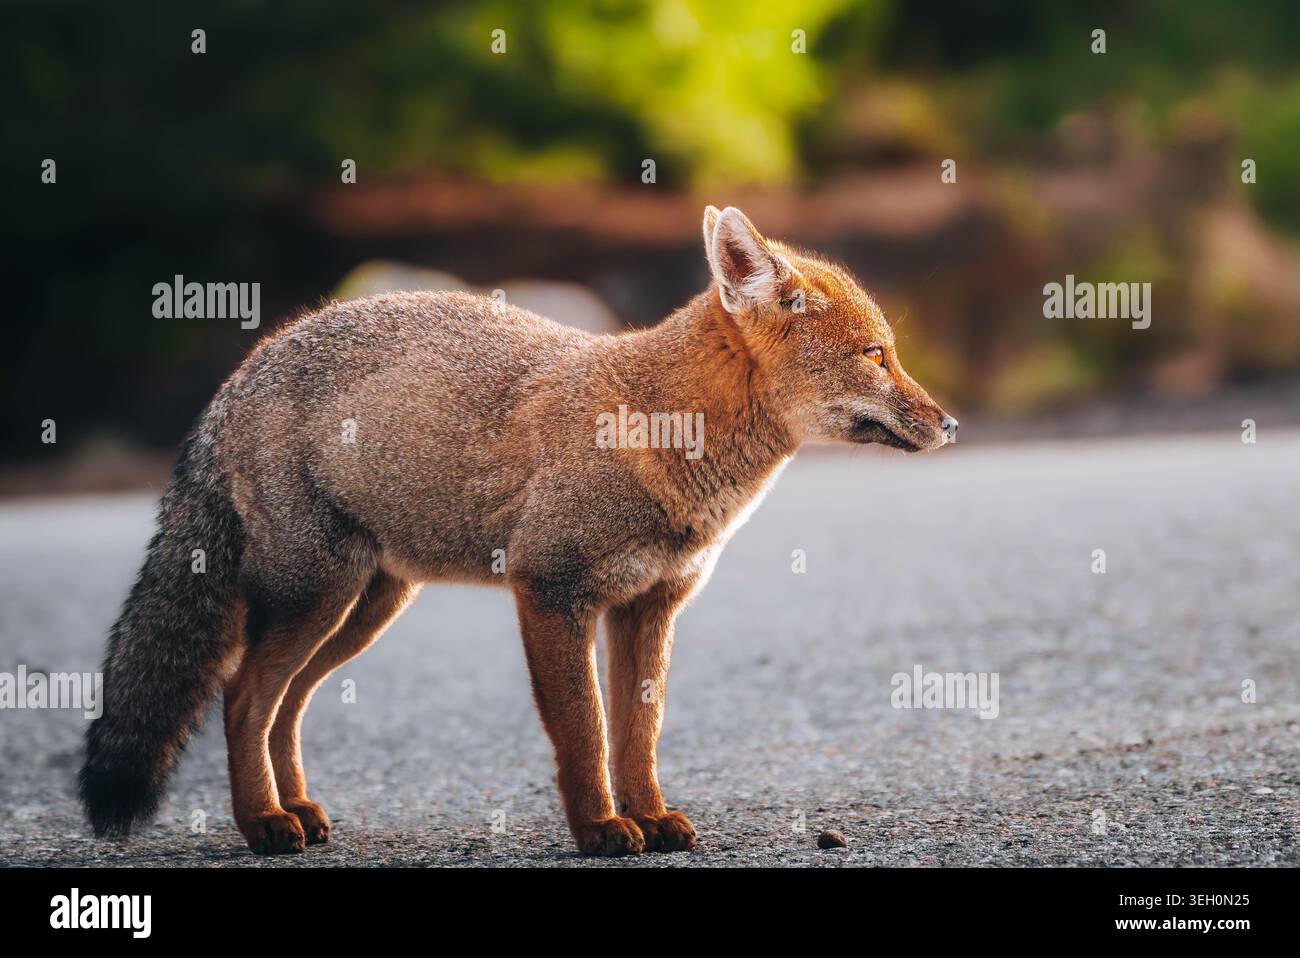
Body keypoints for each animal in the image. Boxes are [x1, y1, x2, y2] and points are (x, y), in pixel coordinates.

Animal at [80, 206, 957, 857]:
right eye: (876, 356)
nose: (950, 423)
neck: (657, 426)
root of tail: (245, 368)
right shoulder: (551, 591)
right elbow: (585, 732)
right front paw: (602, 829)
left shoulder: (648, 608)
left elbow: (638, 733)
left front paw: (650, 816)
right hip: (315, 598)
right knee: (239, 696)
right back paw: (263, 823)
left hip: (362, 610)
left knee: (283, 705)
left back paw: (295, 810)